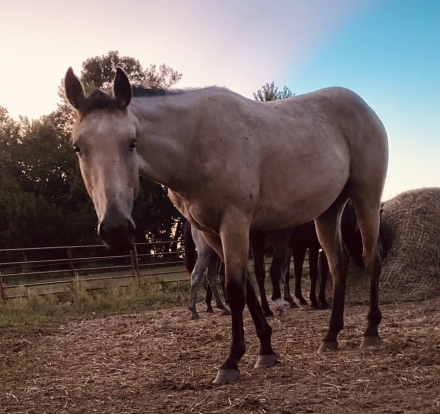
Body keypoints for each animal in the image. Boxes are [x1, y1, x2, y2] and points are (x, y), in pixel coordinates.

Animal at [63, 66, 386, 384]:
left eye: (132, 142)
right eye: (78, 147)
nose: (116, 229)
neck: (195, 143)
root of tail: (365, 107)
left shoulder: (235, 222)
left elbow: (234, 288)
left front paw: (231, 361)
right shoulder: (212, 232)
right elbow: (246, 285)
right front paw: (266, 350)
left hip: (366, 199)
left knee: (371, 259)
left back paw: (371, 332)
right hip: (328, 211)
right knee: (338, 264)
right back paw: (330, 336)